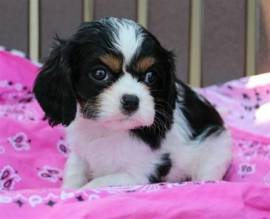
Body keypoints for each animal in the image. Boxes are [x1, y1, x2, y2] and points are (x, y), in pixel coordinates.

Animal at [33, 17, 232, 188]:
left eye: (150, 76)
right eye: (100, 73)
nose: (131, 100)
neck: (108, 130)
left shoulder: (141, 173)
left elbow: (97, 184)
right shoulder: (81, 154)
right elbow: (74, 173)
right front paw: (67, 191)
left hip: (215, 152)